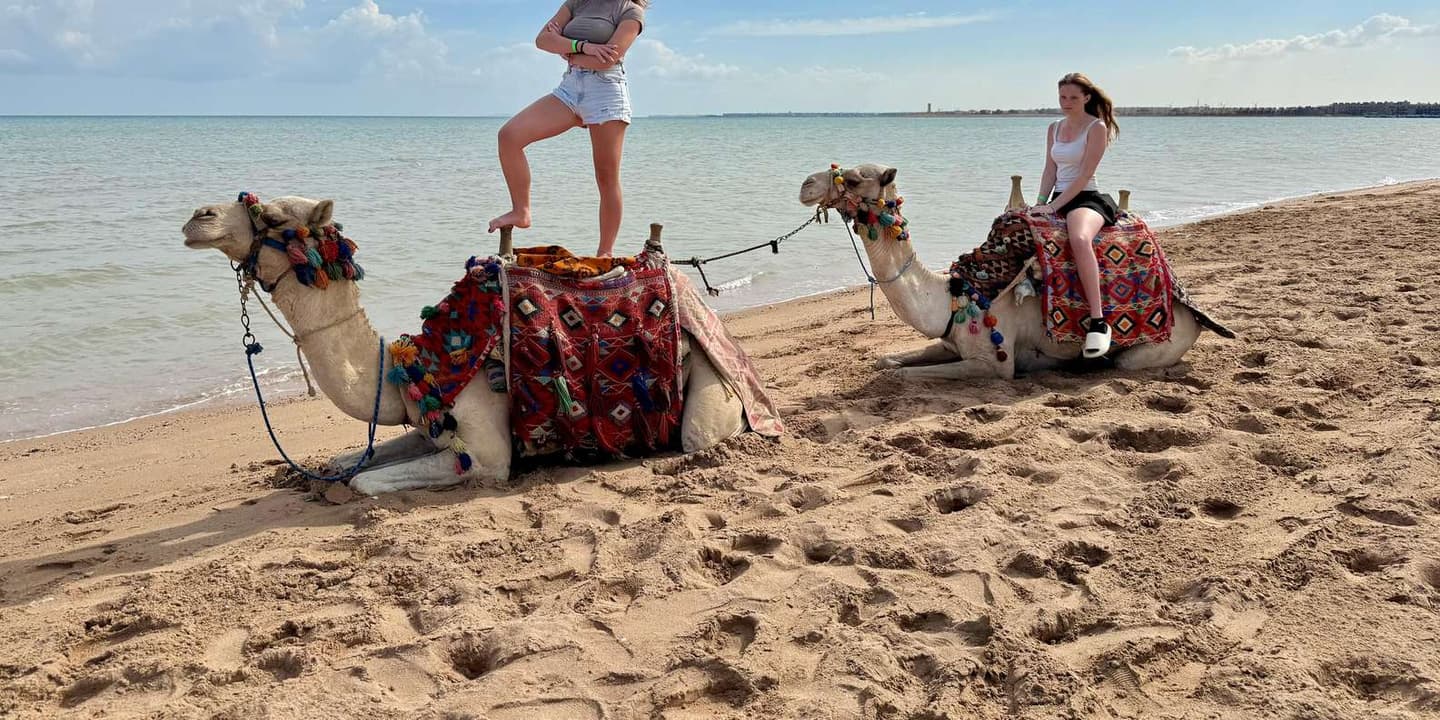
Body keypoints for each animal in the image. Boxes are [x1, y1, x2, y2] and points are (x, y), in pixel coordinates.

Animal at [183, 195, 747, 496]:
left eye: (275, 217)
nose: (198, 216)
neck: (414, 367)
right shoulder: (429, 425)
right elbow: (350, 461)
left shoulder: (486, 454)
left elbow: (364, 482)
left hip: (709, 392)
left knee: (697, 435)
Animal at [799, 163, 1232, 380]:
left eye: (855, 178)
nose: (806, 184)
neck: (957, 295)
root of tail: (1192, 310)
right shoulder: (948, 342)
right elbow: (887, 363)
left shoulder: (993, 363)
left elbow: (900, 376)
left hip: (1159, 343)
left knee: (1123, 362)